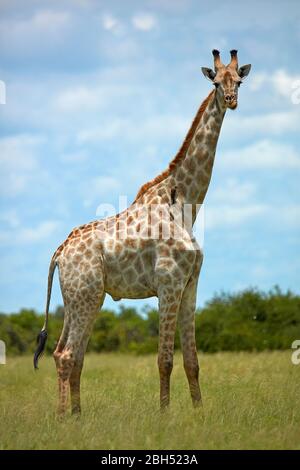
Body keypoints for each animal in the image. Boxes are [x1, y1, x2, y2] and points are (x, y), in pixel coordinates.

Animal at [34, 49, 252, 414]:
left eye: (238, 80)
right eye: (215, 83)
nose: (231, 100)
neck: (186, 204)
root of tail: (59, 253)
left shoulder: (190, 285)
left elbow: (193, 361)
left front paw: (199, 413)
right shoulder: (169, 283)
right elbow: (165, 360)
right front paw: (165, 415)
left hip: (82, 297)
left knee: (69, 354)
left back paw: (75, 416)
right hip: (85, 294)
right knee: (66, 354)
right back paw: (64, 418)